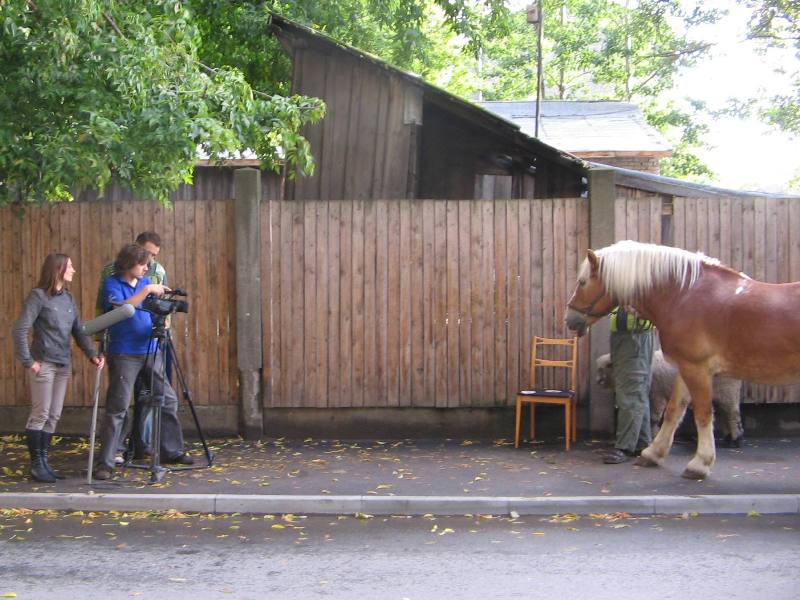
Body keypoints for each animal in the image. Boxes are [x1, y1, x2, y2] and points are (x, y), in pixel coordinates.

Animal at [592, 352, 744, 446]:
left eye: (605, 368)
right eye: (598, 368)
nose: (597, 381)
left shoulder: (657, 395)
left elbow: (653, 418)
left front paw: (652, 436)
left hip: (728, 391)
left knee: (733, 415)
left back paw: (736, 440)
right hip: (720, 395)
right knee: (725, 415)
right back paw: (728, 438)